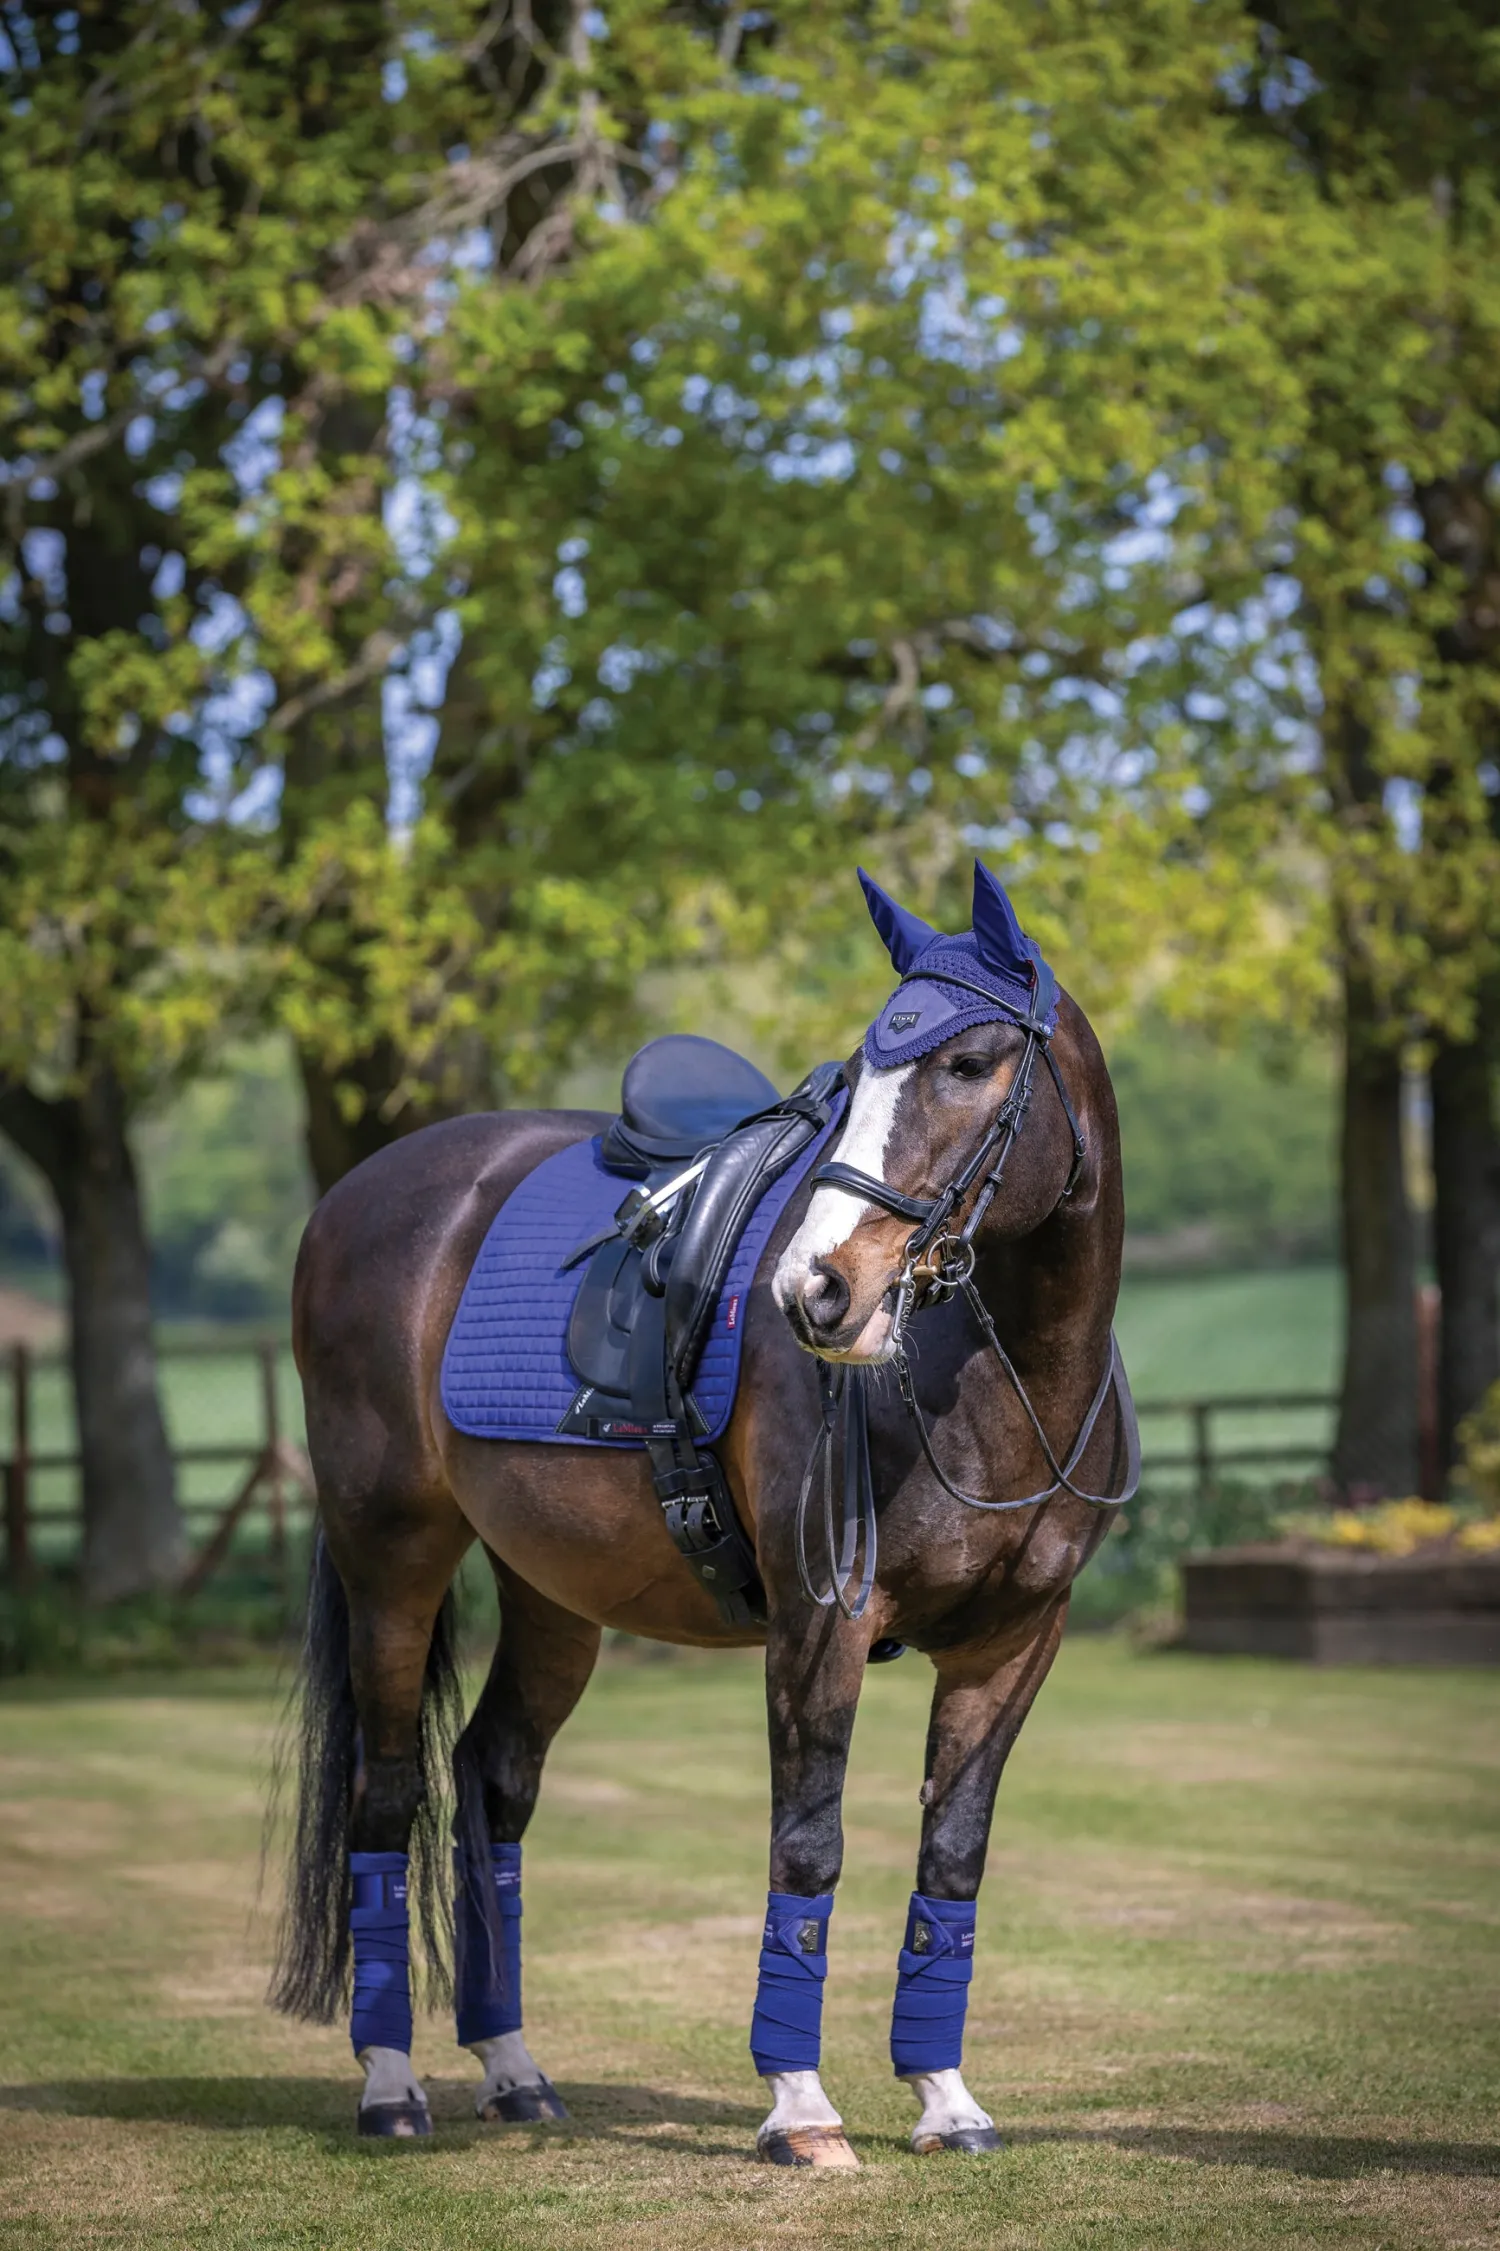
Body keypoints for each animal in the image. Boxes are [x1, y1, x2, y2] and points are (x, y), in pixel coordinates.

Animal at [271, 858, 1135, 2168]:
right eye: (863, 1073)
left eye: (971, 1062)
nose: (817, 1290)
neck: (1002, 1380)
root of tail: (357, 1197)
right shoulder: (821, 1623)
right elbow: (809, 1846)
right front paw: (802, 2107)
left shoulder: (1014, 1642)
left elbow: (953, 1856)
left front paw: (944, 2098)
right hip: (392, 1559)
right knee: (387, 1792)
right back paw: (389, 2085)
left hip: (553, 1592)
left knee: (493, 1779)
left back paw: (514, 2068)